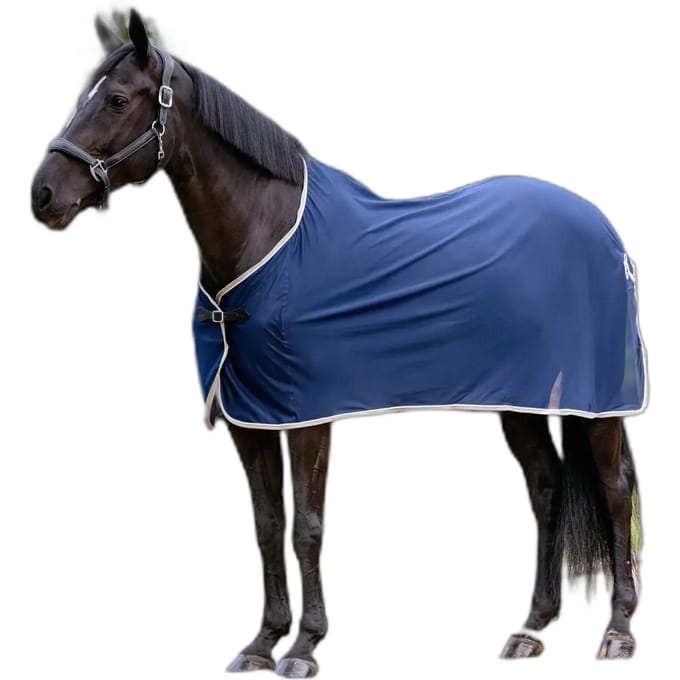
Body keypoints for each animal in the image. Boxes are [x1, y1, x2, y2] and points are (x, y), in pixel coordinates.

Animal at [31, 10, 646, 676]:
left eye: (117, 100)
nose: (42, 195)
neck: (267, 236)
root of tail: (608, 236)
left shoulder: (307, 416)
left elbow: (307, 526)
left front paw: (305, 646)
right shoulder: (250, 417)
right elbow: (267, 524)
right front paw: (262, 642)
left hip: (597, 404)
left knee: (614, 491)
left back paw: (618, 631)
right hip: (521, 402)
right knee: (547, 488)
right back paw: (532, 626)